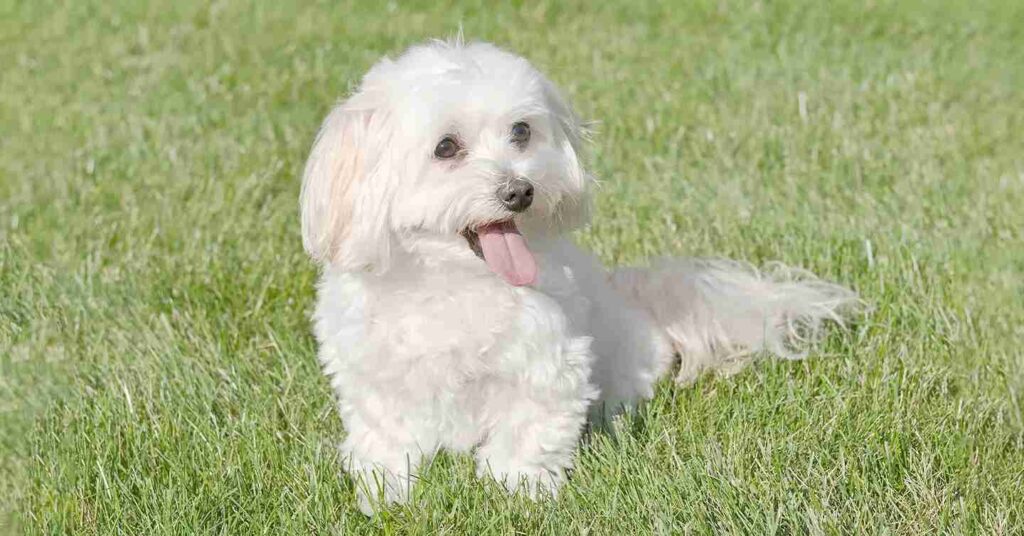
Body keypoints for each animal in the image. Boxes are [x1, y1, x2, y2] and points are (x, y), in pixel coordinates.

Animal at [299, 38, 860, 516]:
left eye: (521, 131)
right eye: (445, 147)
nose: (520, 191)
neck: (454, 283)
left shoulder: (550, 367)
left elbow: (528, 438)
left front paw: (520, 493)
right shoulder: (375, 380)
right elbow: (386, 440)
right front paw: (384, 495)